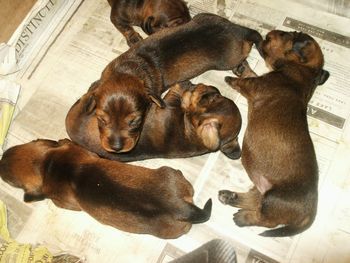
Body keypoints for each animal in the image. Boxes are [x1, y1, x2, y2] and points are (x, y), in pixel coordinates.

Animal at [0, 139, 212, 240]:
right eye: (13, 148)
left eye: (10, 181)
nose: (1, 159)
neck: (47, 164)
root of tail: (185, 209)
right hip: (171, 175)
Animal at [87, 13, 262, 154]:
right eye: (101, 119)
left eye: (135, 121)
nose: (116, 148)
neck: (128, 70)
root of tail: (239, 30)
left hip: (227, 60)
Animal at [217, 30, 330, 237]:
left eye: (288, 34)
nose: (268, 33)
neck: (303, 71)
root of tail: (310, 213)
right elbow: (250, 72)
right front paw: (242, 66)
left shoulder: (255, 85)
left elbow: (245, 80)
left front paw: (232, 78)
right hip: (263, 190)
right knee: (254, 201)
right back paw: (229, 197)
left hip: (274, 198)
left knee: (266, 221)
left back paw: (242, 218)